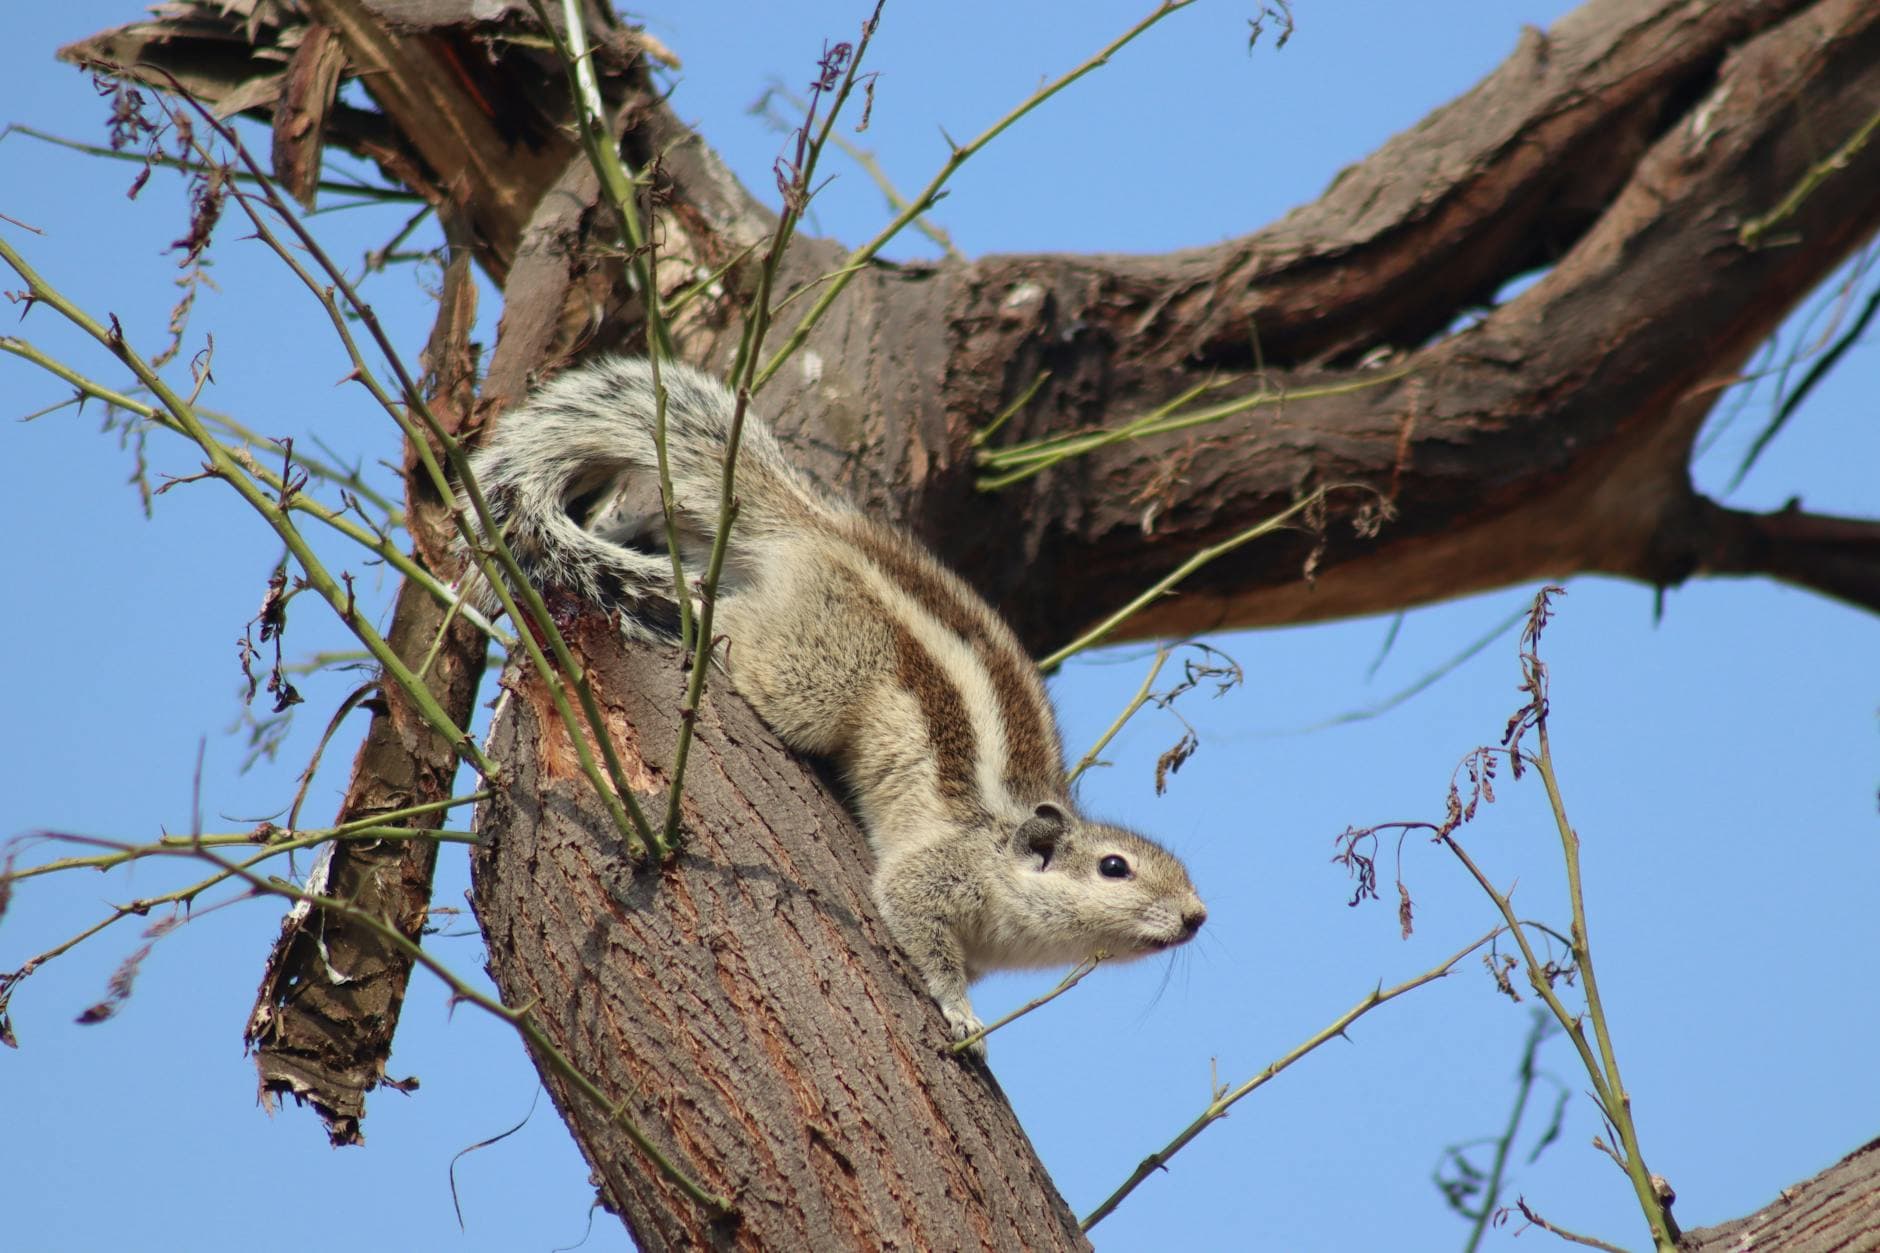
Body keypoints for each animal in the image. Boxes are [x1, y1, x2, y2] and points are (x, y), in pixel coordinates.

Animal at [464, 357, 1207, 1056]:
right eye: (1114, 867)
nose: (1197, 915)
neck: (1001, 852)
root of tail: (821, 533)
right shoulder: (932, 877)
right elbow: (917, 927)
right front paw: (961, 1014)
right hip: (810, 674)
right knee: (736, 626)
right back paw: (701, 614)